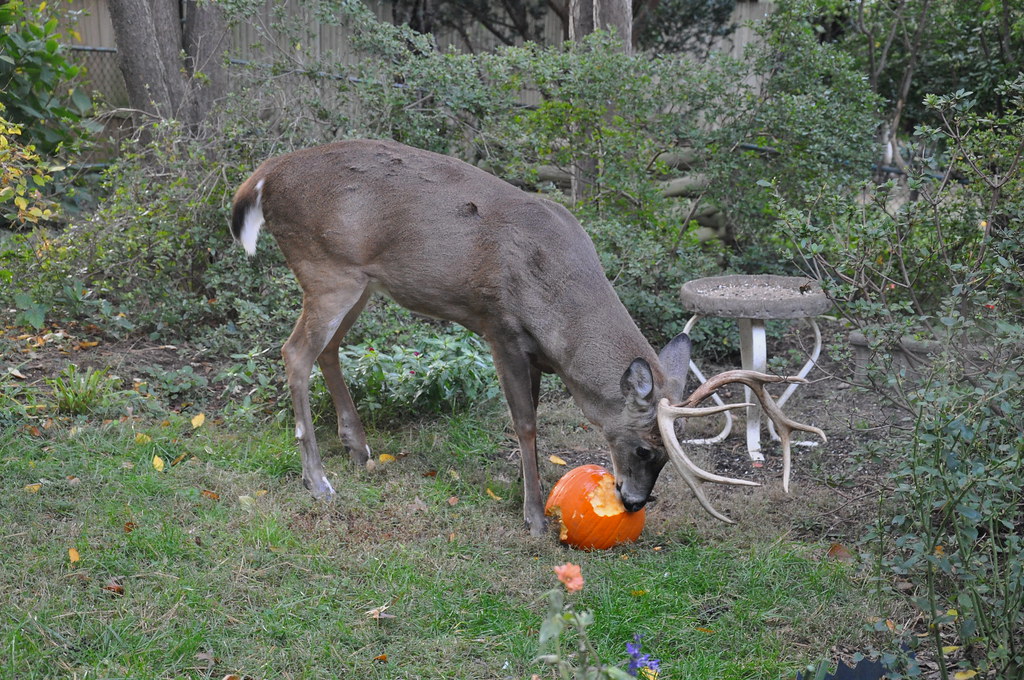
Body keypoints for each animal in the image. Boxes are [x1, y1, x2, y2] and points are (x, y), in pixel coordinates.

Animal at [230, 138, 825, 535]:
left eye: (663, 459)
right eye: (642, 448)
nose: (634, 502)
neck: (559, 308)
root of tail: (263, 176)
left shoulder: (536, 353)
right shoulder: (501, 329)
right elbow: (525, 424)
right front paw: (534, 517)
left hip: (360, 283)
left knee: (327, 350)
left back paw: (359, 450)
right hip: (324, 267)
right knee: (295, 353)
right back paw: (318, 480)